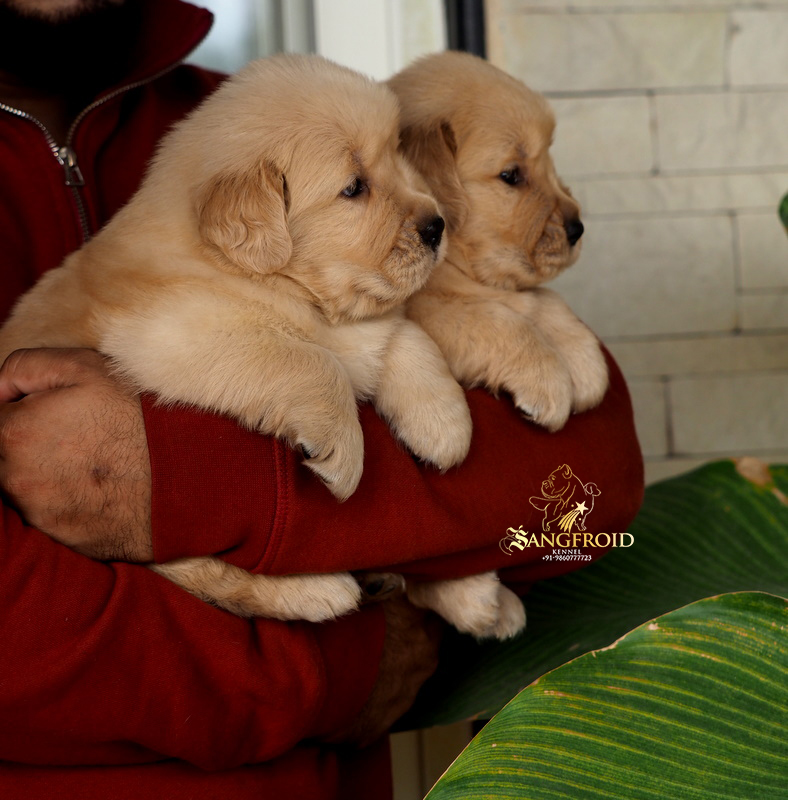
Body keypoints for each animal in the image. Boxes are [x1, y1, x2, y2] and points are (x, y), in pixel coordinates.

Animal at [0, 57, 478, 624]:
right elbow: (312, 361)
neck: (287, 289)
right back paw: (321, 591)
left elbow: (407, 338)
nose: (437, 226)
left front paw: (446, 428)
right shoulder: (174, 341)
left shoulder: (368, 326)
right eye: (354, 188)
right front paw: (344, 453)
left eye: (397, 156)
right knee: (200, 570)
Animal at [388, 51, 608, 432]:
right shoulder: (426, 308)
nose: (577, 229)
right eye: (511, 175)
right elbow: (503, 322)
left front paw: (584, 358)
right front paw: (547, 381)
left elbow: (543, 301)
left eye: (547, 160)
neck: (456, 262)